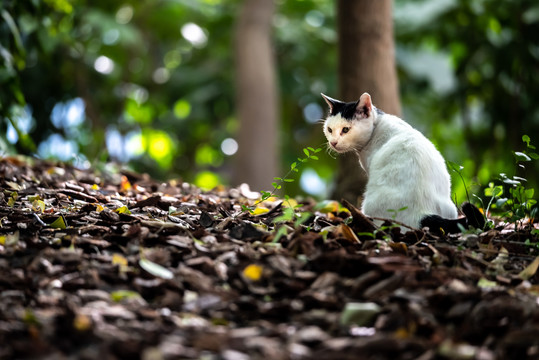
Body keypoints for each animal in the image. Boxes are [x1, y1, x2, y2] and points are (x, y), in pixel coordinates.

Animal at [320, 92, 486, 233]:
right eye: (329, 129)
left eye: (345, 130)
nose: (333, 142)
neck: (377, 124)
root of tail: (421, 213)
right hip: (450, 206)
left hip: (370, 204)